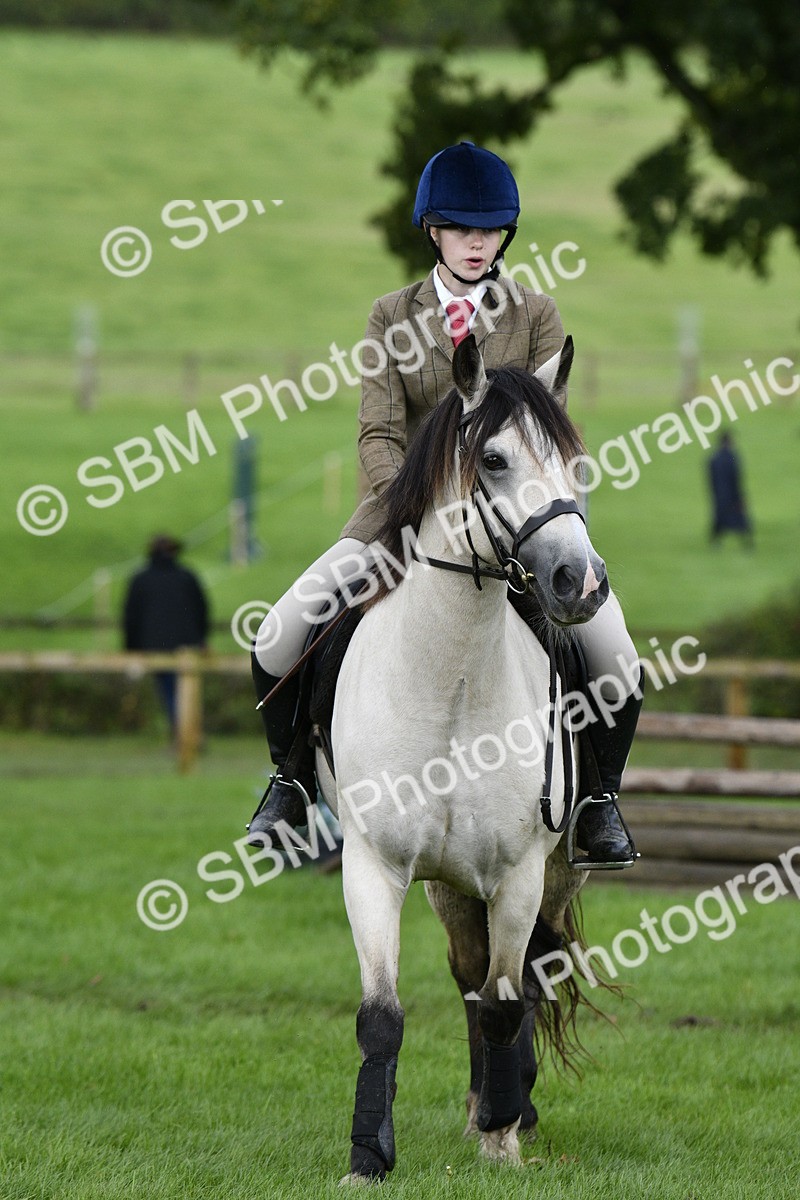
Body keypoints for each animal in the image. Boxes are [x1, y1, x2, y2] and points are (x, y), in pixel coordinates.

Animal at [315, 333, 609, 1183]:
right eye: (497, 461)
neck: (450, 679)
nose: (581, 583)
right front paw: (368, 1156)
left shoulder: (518, 875)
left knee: (523, 981)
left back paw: (509, 1112)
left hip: (555, 872)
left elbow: (511, 1000)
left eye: (575, 462)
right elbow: (383, 1017)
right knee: (470, 976)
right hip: (449, 885)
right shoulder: (374, 867)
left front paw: (504, 1138)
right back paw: (483, 1104)